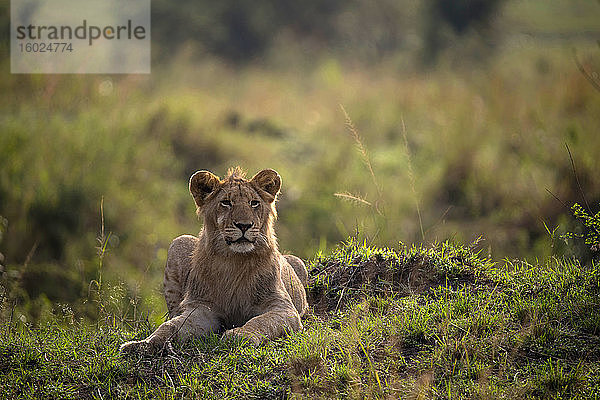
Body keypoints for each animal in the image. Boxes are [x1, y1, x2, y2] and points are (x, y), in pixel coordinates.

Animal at [119, 166, 308, 354]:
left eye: (254, 203)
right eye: (226, 202)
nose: (244, 225)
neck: (234, 261)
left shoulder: (283, 308)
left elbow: (261, 321)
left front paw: (239, 336)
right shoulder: (202, 308)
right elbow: (170, 326)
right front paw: (142, 344)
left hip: (299, 263)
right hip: (179, 241)